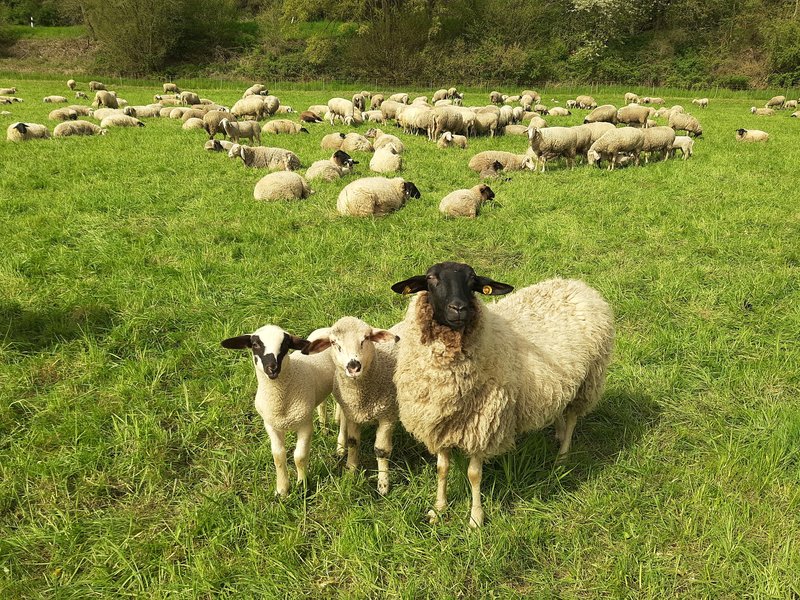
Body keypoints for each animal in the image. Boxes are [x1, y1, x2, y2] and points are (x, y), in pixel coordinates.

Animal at [221, 325, 332, 496]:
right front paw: (282, 490)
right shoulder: (271, 426)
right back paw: (324, 427)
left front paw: (303, 486)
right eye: (255, 345)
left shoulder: (305, 425)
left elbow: (299, 456)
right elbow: (278, 456)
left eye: (285, 345)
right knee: (322, 404)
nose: (272, 368)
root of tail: (327, 328)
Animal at [303, 317, 401, 493]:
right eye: (334, 342)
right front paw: (350, 471)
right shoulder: (353, 413)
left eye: (366, 338)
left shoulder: (387, 415)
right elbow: (353, 441)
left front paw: (383, 485)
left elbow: (381, 451)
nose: (353, 366)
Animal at [390, 262, 614, 526]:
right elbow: (442, 469)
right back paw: (558, 435)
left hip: (587, 382)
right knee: (560, 407)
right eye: (431, 278)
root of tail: (577, 285)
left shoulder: (483, 424)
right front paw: (439, 508)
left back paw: (562, 456)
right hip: (560, 385)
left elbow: (474, 474)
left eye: (472, 280)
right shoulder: (440, 422)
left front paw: (476, 518)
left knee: (571, 419)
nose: (459, 308)